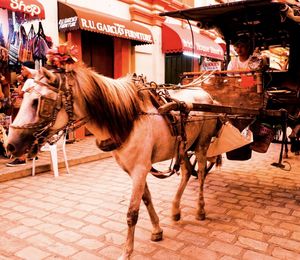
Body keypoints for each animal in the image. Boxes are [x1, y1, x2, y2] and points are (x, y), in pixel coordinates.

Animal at [5, 63, 219, 260]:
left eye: (37, 102)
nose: (10, 146)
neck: (129, 119)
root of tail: (206, 95)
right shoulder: (135, 170)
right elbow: (146, 199)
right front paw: (157, 229)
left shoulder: (140, 169)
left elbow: (132, 214)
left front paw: (126, 252)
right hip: (184, 147)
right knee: (187, 171)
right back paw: (175, 210)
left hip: (202, 144)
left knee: (200, 174)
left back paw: (200, 209)